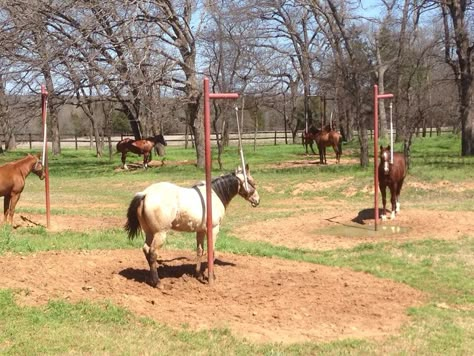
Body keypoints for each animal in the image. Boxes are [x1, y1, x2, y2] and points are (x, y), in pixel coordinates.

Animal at [124, 165, 262, 288]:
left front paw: (199, 275)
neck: (214, 195)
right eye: (253, 182)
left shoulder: (200, 231)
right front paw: (212, 276)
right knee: (153, 253)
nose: (257, 200)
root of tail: (145, 194)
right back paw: (158, 283)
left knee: (146, 250)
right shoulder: (214, 229)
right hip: (160, 233)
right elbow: (212, 251)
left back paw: (151, 280)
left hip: (149, 232)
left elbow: (200, 251)